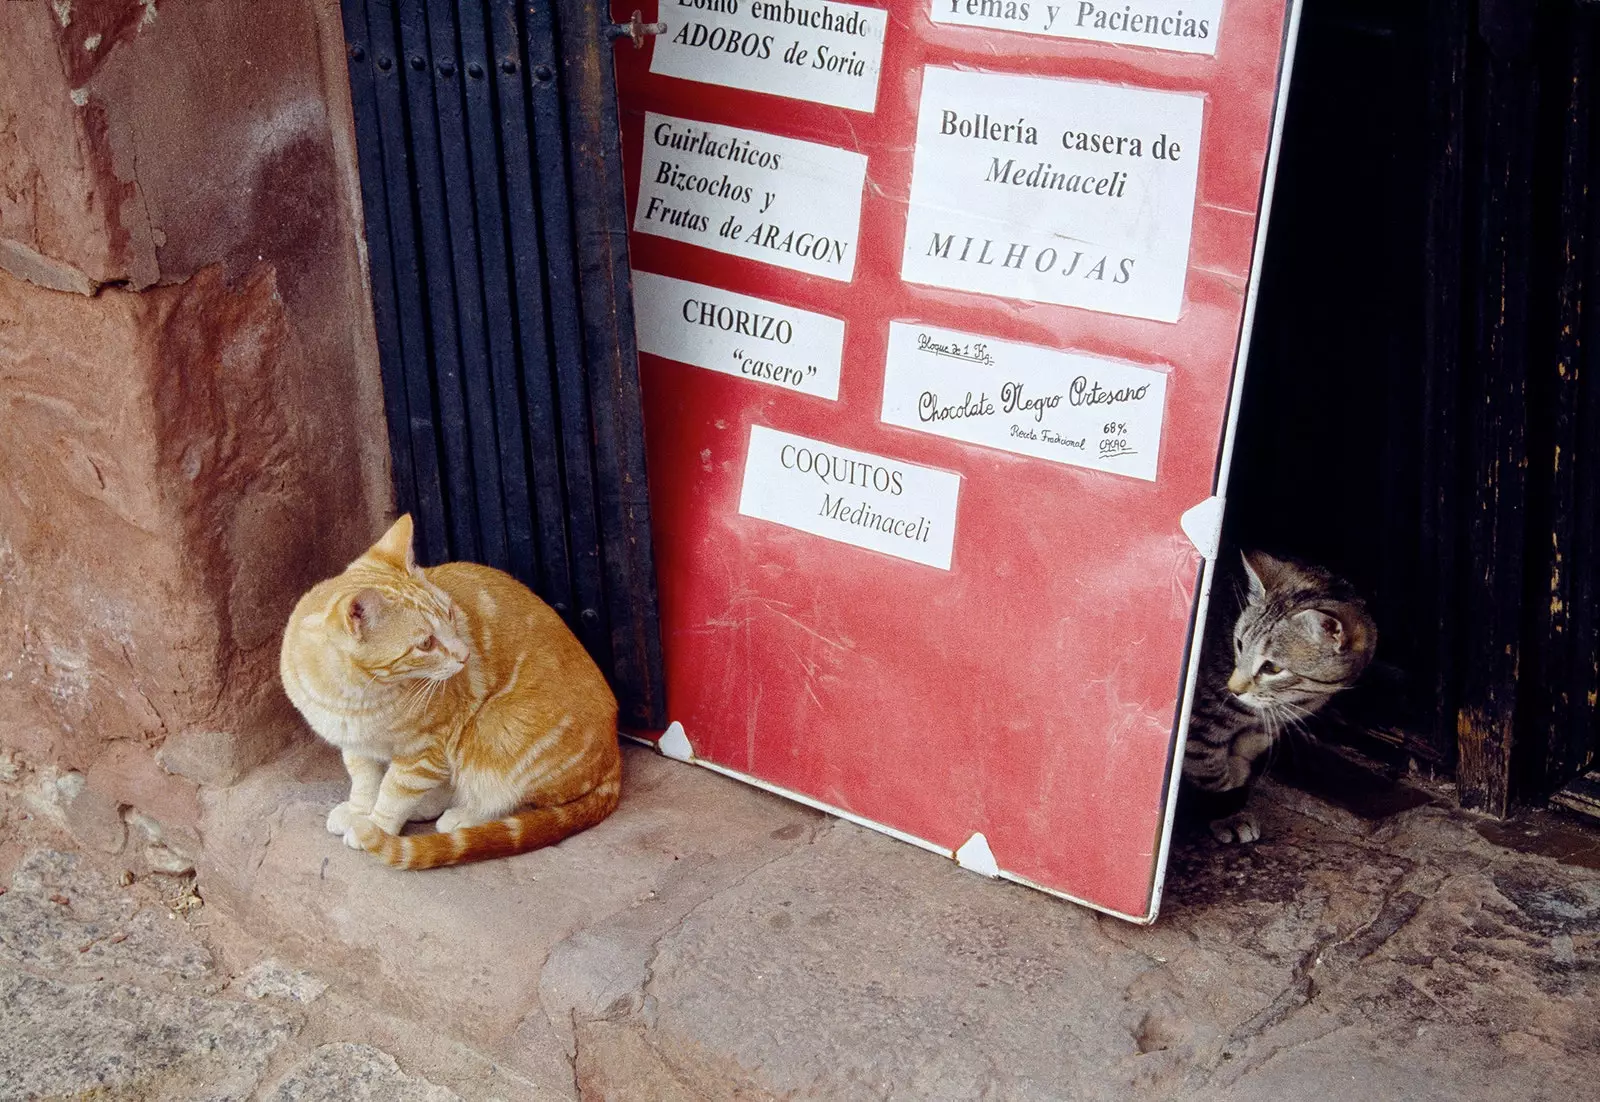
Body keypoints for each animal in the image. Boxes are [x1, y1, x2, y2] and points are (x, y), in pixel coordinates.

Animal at [281, 515, 617, 870]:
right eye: (426, 643)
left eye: (452, 614)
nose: (464, 655)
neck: (353, 698)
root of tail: (613, 755)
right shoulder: (356, 744)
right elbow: (364, 780)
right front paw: (360, 811)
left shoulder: (427, 749)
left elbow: (393, 791)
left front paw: (376, 826)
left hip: (490, 729)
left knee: (516, 799)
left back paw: (463, 816)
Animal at [1184, 550, 1382, 844]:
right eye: (1239, 644)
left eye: (1273, 668)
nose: (1233, 688)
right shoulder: (1202, 722)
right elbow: (1208, 768)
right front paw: (1227, 811)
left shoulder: (1265, 726)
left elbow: (1247, 747)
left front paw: (1238, 776)